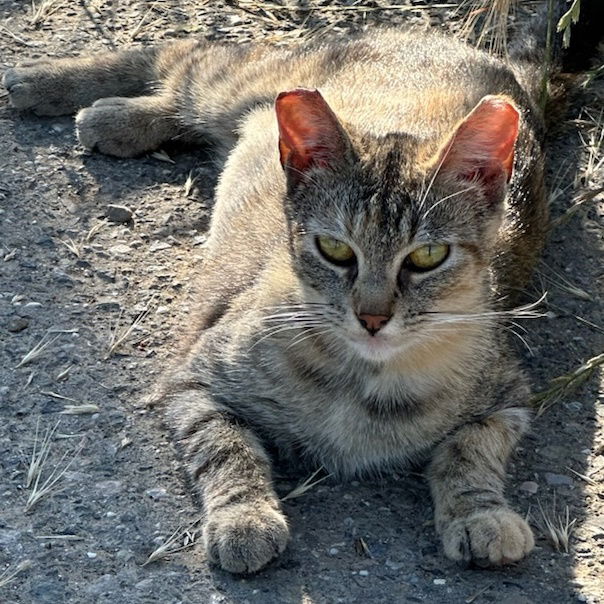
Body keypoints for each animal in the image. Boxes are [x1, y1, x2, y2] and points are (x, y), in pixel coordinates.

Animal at [3, 1, 600, 576]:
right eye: (335, 249)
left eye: (428, 257)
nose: (373, 317)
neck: (365, 384)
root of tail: (483, 57)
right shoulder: (193, 379)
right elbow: (226, 447)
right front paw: (244, 516)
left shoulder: (509, 396)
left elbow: (472, 451)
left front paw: (481, 513)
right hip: (240, 80)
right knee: (183, 55)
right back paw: (51, 85)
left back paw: (114, 115)